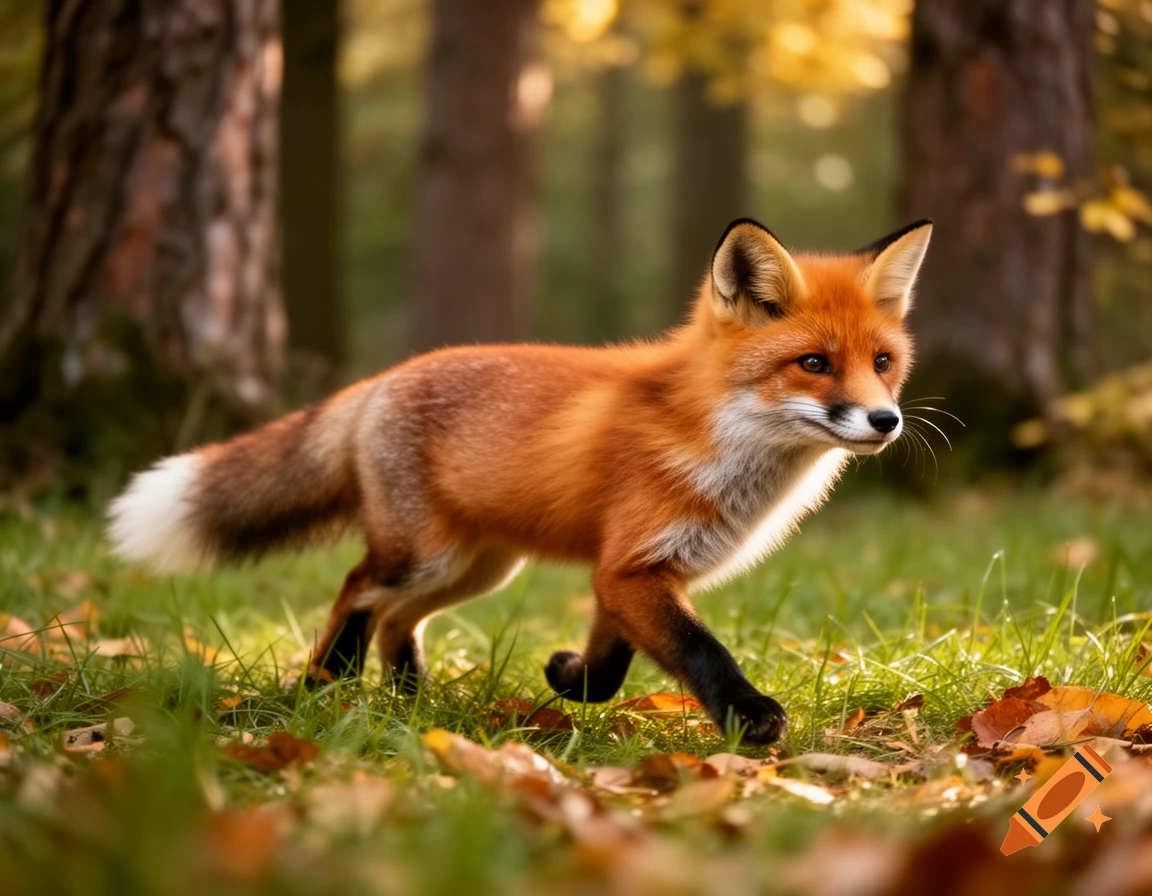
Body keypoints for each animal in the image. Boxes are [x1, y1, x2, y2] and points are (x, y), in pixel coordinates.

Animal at [108, 217, 932, 745]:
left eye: (882, 362)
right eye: (814, 363)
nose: (884, 420)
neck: (715, 435)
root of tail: (383, 379)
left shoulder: (628, 573)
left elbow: (608, 670)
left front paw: (564, 676)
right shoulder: (633, 570)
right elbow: (701, 650)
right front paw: (748, 717)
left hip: (482, 568)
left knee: (396, 619)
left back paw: (409, 698)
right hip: (424, 556)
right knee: (358, 587)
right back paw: (329, 683)